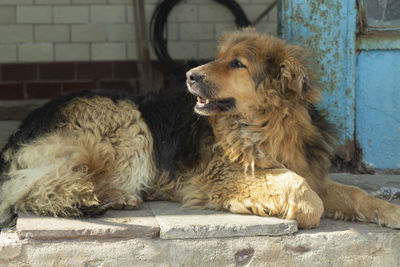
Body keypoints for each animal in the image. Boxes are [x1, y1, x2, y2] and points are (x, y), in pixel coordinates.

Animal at [0, 28, 400, 230]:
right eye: (220, 57)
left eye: (237, 63)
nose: (190, 75)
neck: (269, 122)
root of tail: (23, 128)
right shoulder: (224, 174)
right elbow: (304, 194)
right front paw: (274, 208)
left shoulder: (311, 170)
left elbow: (355, 194)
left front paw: (390, 212)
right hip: (126, 124)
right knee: (31, 188)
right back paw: (89, 199)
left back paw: (113, 197)